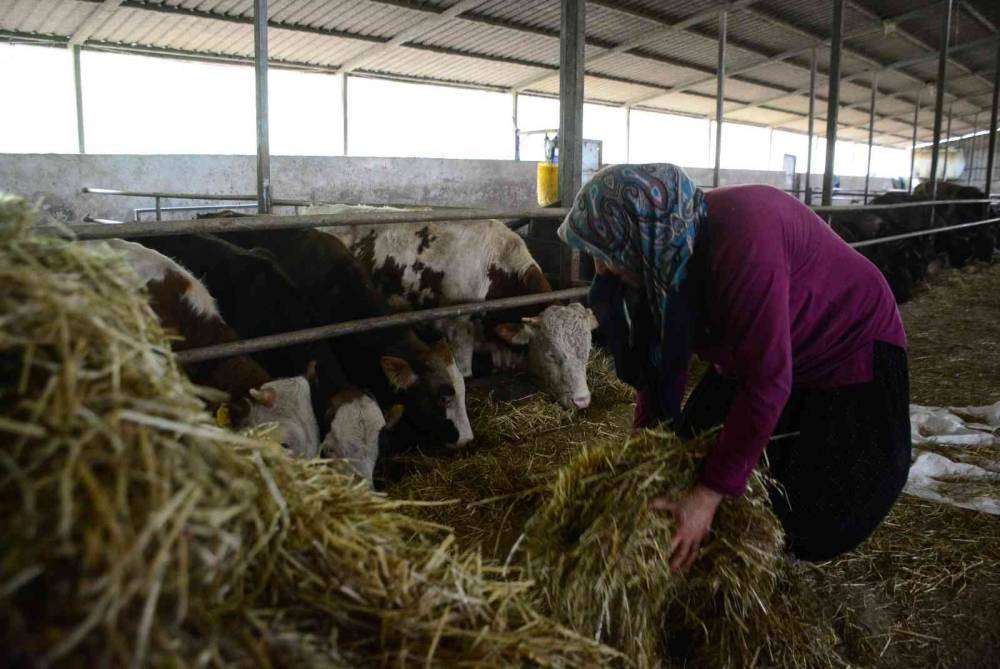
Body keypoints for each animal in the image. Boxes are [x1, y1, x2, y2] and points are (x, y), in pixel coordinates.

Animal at [304, 206, 596, 410]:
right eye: (551, 354)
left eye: (587, 351)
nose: (582, 400)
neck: (493, 270)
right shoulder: (458, 331)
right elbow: (466, 374)